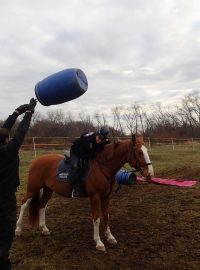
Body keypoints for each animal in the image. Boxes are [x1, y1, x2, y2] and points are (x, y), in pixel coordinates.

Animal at [15, 135, 153, 251]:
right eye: (140, 152)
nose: (150, 175)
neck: (102, 167)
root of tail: (36, 160)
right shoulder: (95, 197)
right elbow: (96, 219)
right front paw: (99, 242)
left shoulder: (106, 197)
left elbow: (106, 216)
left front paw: (110, 237)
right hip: (32, 189)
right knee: (24, 204)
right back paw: (18, 230)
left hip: (48, 190)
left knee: (42, 205)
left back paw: (44, 229)